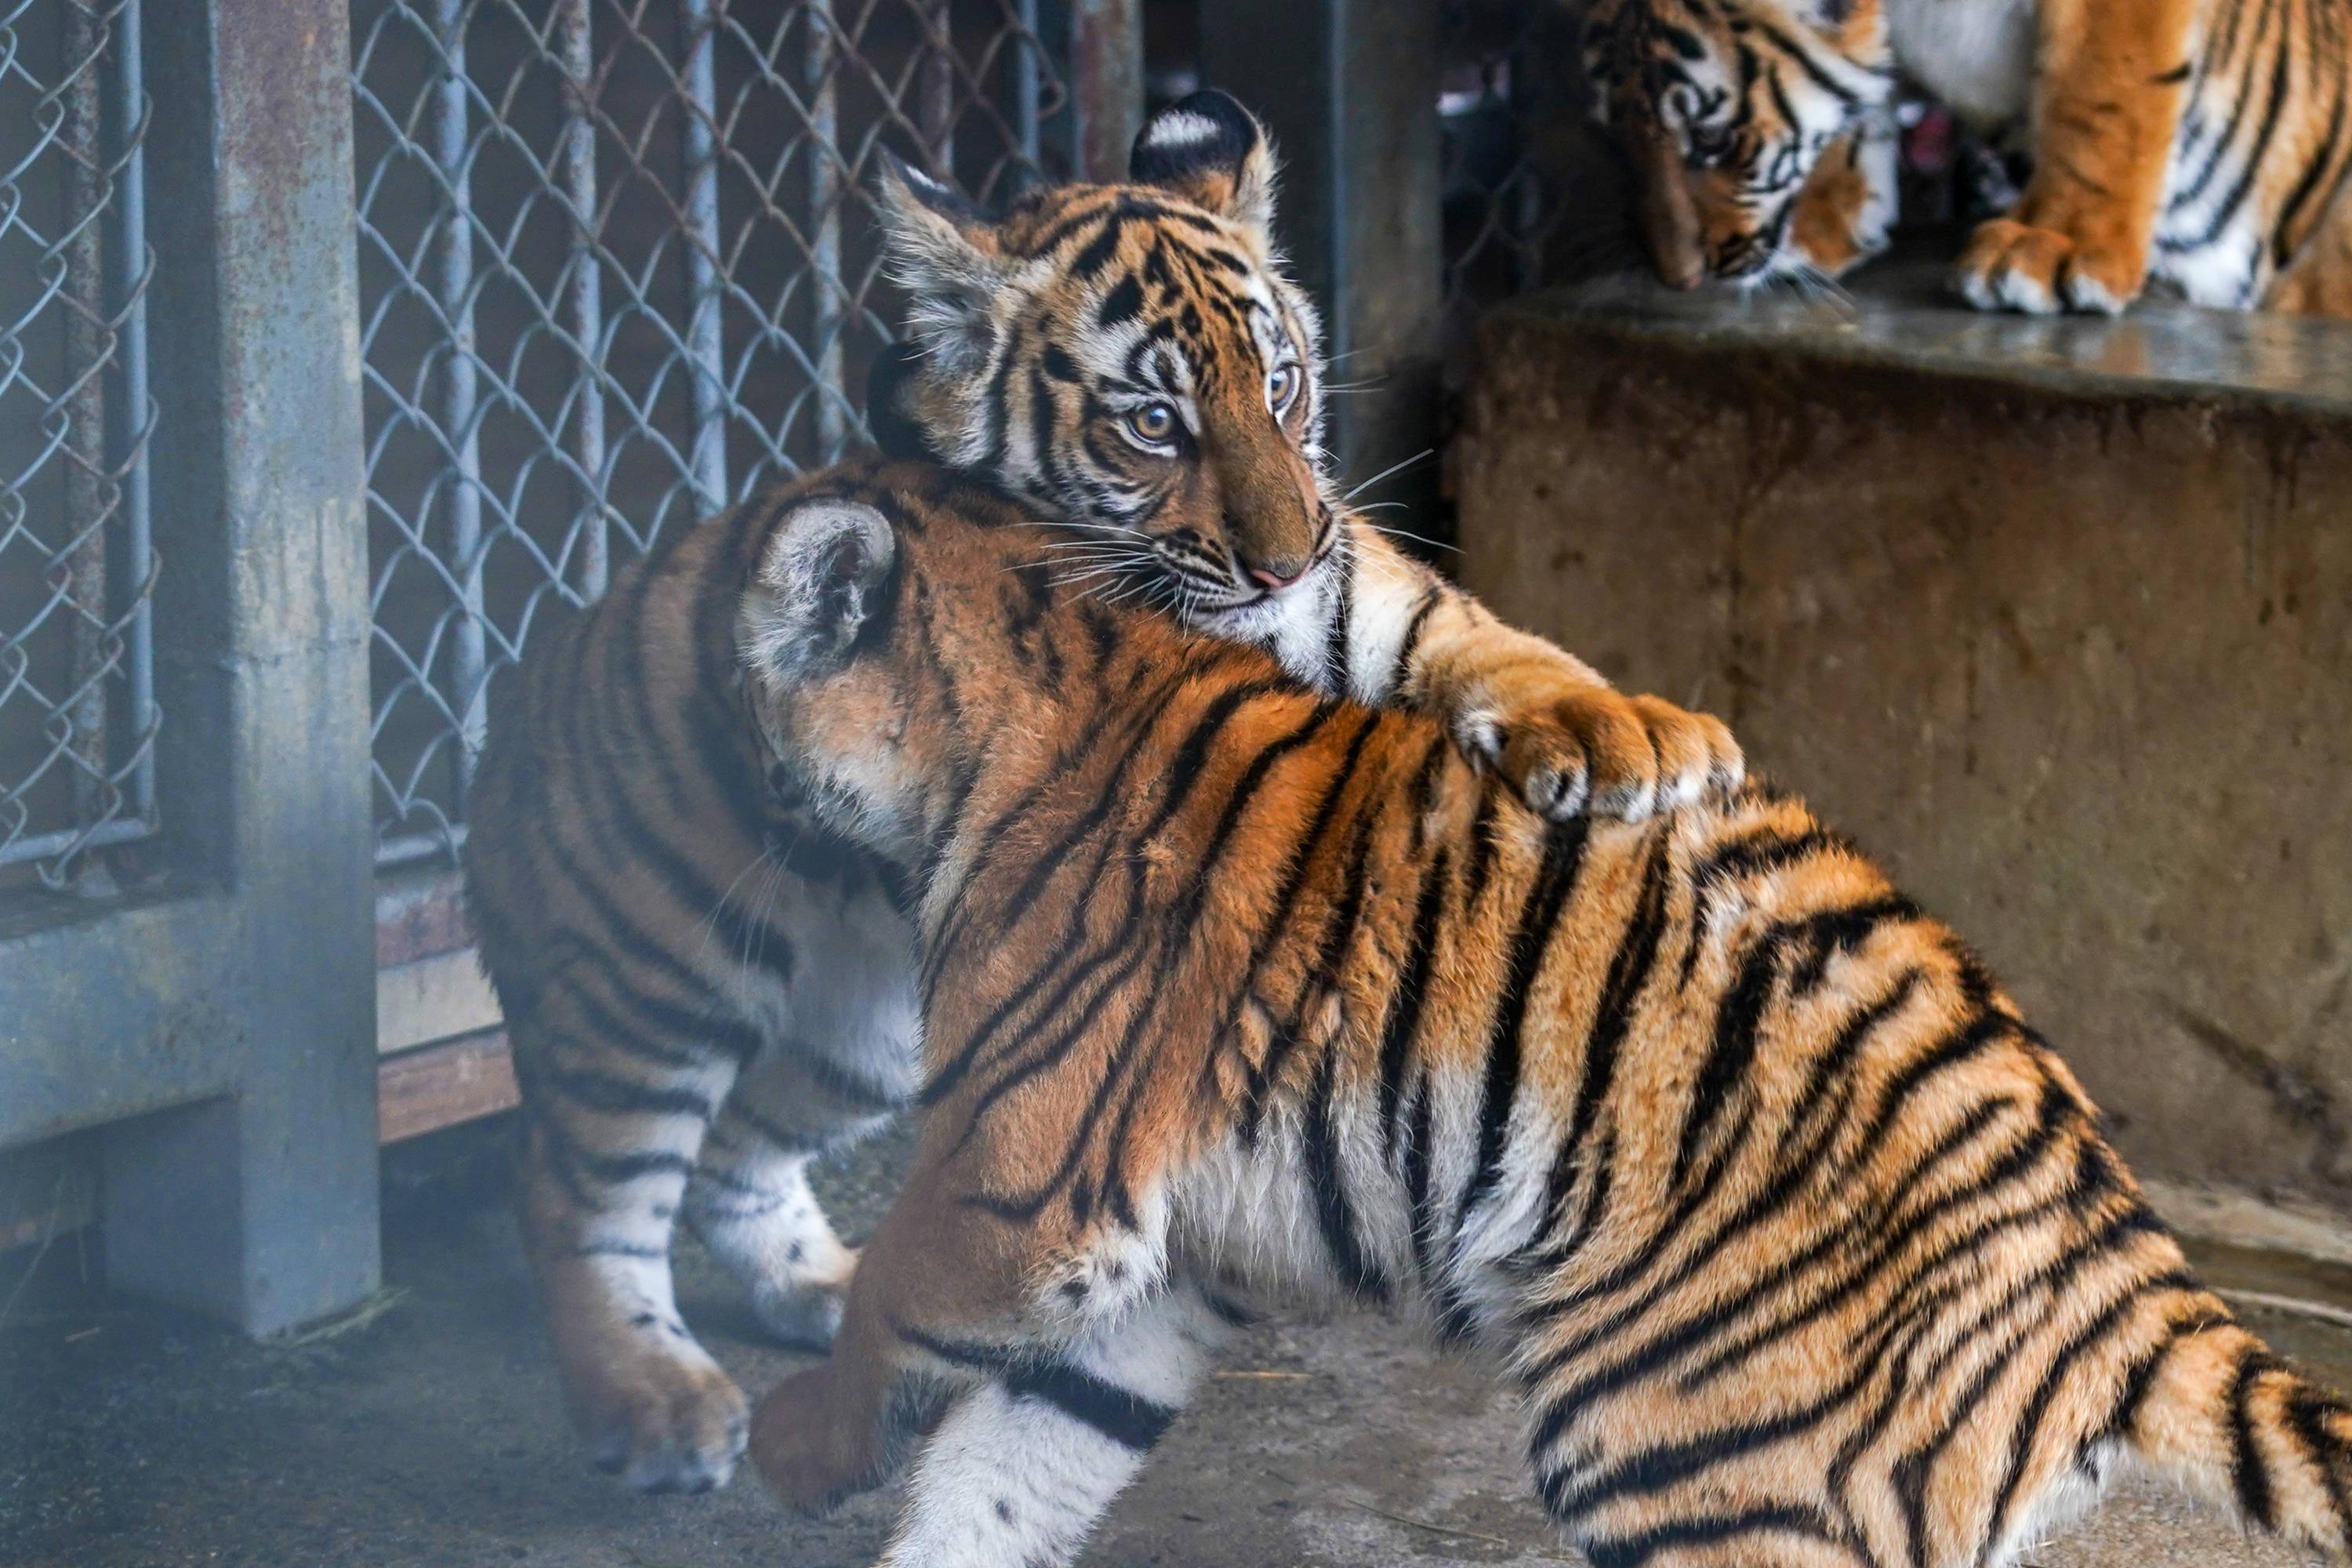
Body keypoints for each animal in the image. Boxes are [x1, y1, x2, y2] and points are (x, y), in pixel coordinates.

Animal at [463, 92, 1750, 1504]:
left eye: (1280, 384)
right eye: (1151, 423)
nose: (1282, 557)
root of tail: (512, 703)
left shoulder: (1347, 583)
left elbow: (1447, 620)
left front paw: (1629, 725)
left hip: (865, 1033)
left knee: (737, 1150)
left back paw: (818, 1289)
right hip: (644, 994)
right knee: (574, 1187)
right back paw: (651, 1397)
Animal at [743, 465, 2352, 1568]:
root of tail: (2127, 1276)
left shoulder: (1022, 1181)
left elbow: (893, 1294)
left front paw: (797, 1439)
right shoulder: (1168, 1257)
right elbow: (1016, 1460)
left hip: (1684, 1461)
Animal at [1581, 0, 2352, 314]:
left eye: (1712, 140)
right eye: (1618, 136)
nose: (1679, 280)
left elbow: (2103, 82)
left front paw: (2056, 246)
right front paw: (1824, 219)